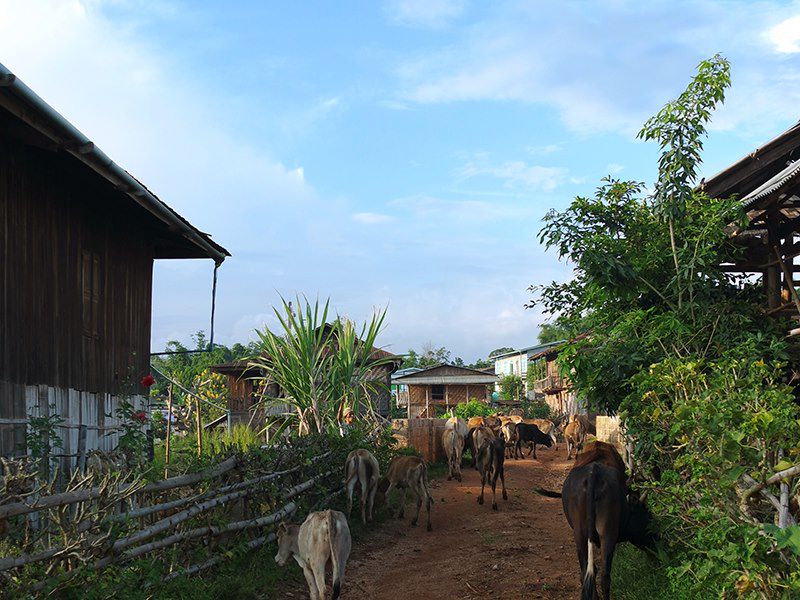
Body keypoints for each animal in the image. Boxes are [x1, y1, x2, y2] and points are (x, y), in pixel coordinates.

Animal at [536, 440, 656, 600]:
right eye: (649, 518)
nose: (658, 540)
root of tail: (594, 473)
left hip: (585, 533)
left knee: (593, 573)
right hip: (603, 532)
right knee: (600, 574)